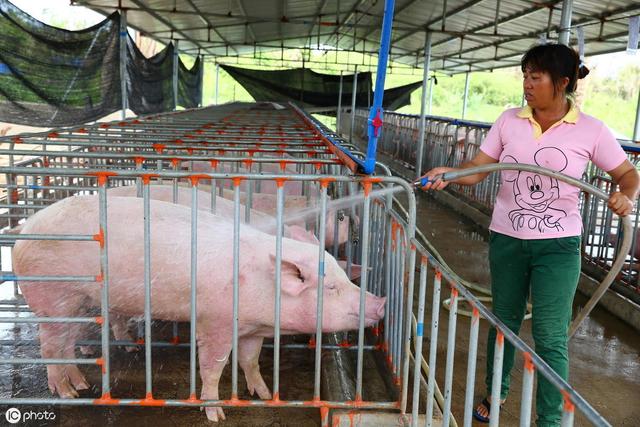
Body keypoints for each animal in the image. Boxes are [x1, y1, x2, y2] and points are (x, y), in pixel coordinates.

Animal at [13, 196, 384, 422]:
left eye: (342, 278)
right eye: (331, 288)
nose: (380, 303)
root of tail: (23, 230)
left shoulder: (253, 329)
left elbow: (249, 361)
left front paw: (264, 395)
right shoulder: (216, 322)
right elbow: (213, 366)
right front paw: (217, 413)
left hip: (77, 302)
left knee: (66, 345)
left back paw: (80, 386)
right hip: (52, 295)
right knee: (49, 347)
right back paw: (65, 393)